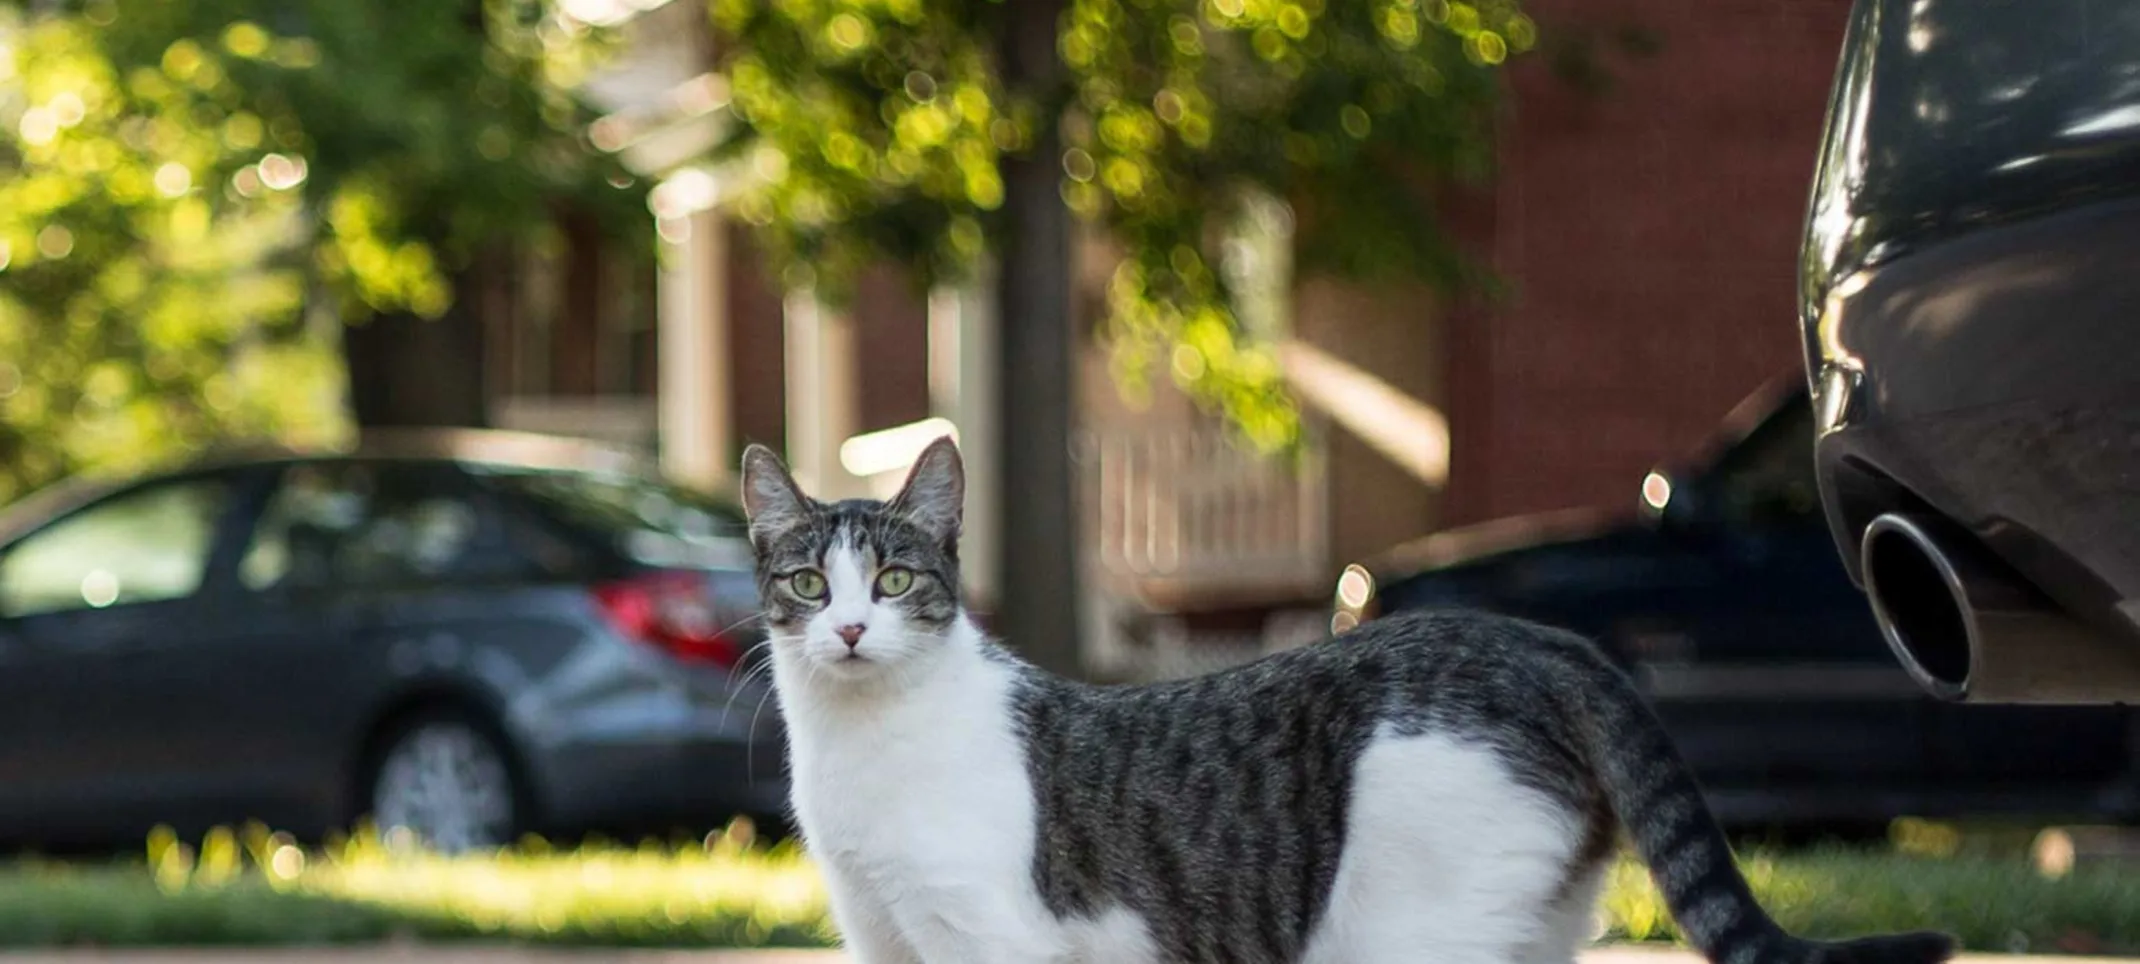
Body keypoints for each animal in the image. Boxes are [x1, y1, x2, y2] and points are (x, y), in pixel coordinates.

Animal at [736, 437, 1960, 964]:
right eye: (809, 585)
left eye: (896, 582)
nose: (849, 630)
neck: (862, 747)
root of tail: (1533, 640)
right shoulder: (882, 939)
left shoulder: (993, 942)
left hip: (1402, 930)